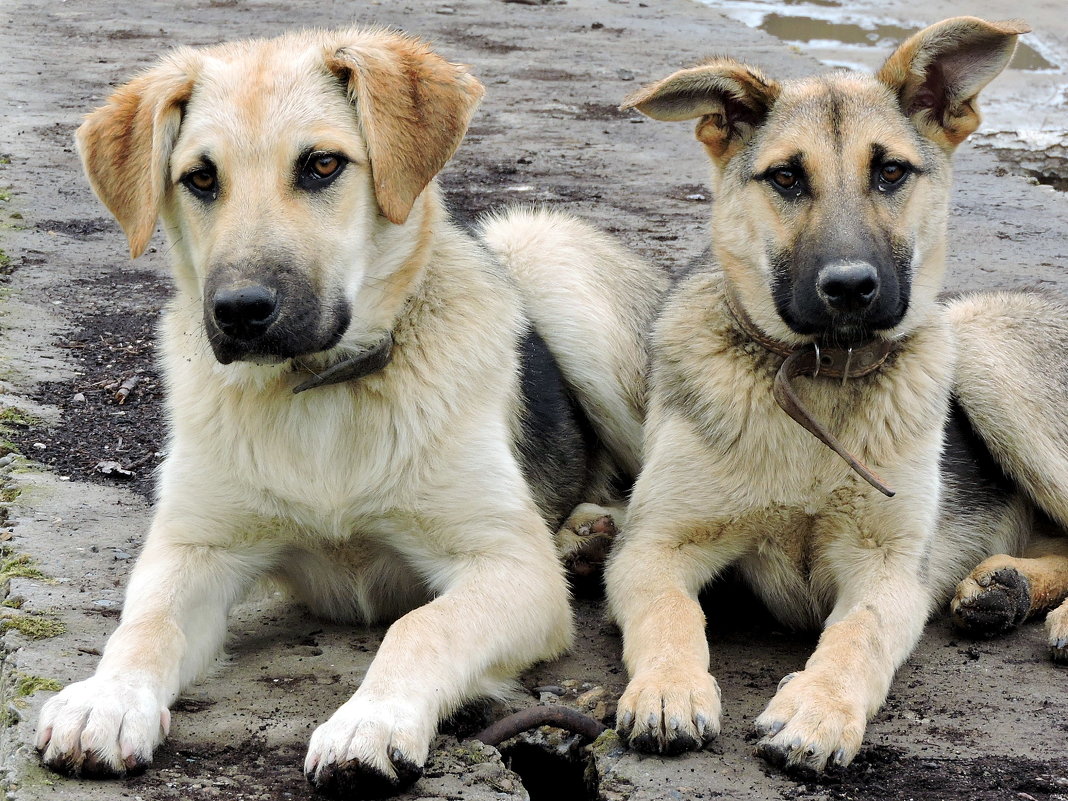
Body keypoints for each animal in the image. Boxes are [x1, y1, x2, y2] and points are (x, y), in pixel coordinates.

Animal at [33, 28, 662, 798]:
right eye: (200, 178)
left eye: (323, 164)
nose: (239, 312)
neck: (323, 390)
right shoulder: (194, 547)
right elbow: (144, 624)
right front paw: (106, 698)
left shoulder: (512, 567)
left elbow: (420, 628)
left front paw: (372, 721)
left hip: (553, 271)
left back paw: (594, 538)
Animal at [606, 17, 1068, 777]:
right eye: (787, 177)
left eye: (891, 172)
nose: (850, 288)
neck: (817, 377)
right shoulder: (654, 543)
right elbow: (669, 615)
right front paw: (670, 687)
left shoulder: (887, 568)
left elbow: (859, 637)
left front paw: (817, 710)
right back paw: (1006, 588)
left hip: (985, 360)